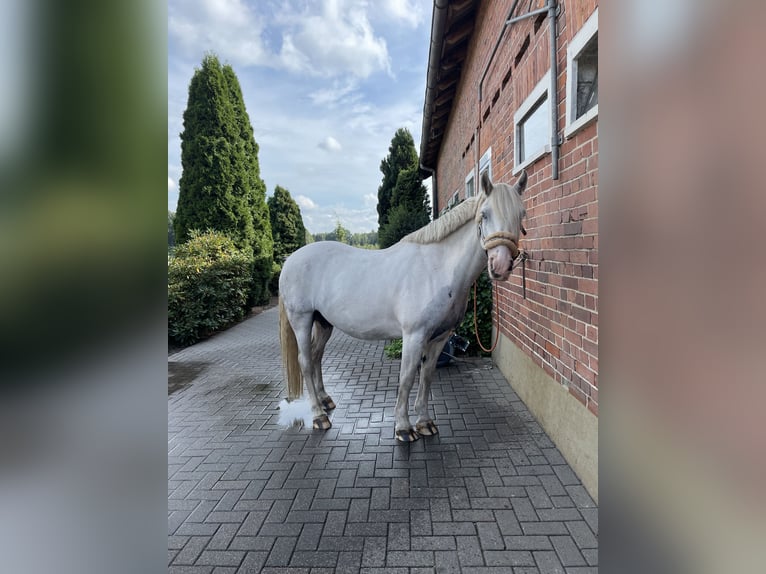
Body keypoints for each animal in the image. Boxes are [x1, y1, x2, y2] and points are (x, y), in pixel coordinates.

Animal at [280, 169, 528, 444]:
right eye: (484, 214)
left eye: (521, 214)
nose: (501, 265)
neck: (437, 269)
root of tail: (290, 260)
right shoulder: (414, 335)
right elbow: (407, 378)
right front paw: (403, 428)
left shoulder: (440, 337)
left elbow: (427, 376)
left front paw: (425, 422)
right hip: (302, 320)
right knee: (304, 360)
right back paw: (318, 416)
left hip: (323, 323)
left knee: (316, 356)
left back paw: (325, 401)